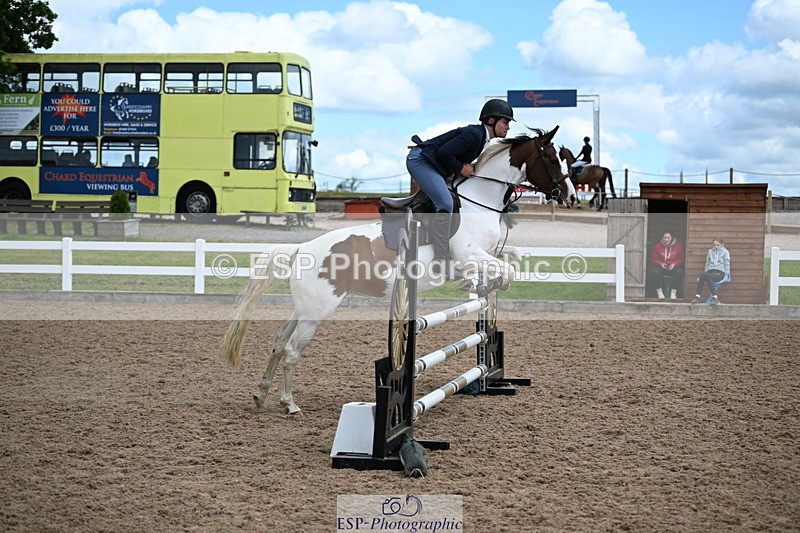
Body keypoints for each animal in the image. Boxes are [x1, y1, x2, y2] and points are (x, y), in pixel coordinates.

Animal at [221, 127, 575, 414]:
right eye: (552, 159)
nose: (570, 197)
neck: (479, 200)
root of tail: (301, 250)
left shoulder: (489, 253)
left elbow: (512, 259)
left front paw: (485, 286)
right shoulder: (469, 255)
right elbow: (505, 270)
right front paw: (484, 284)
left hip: (304, 308)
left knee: (279, 343)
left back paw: (261, 396)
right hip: (317, 312)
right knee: (293, 350)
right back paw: (290, 404)